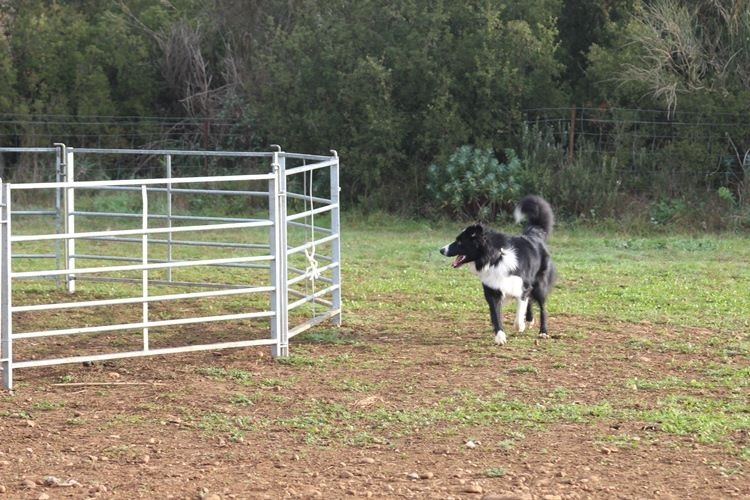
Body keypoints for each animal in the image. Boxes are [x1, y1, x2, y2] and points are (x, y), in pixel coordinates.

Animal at [440, 194, 560, 344]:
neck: (495, 258)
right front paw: (500, 337)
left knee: (542, 306)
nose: (441, 250)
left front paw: (519, 325)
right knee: (530, 300)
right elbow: (496, 315)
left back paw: (543, 331)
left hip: (540, 285)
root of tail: (534, 233)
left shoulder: (520, 286)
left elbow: (520, 309)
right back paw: (529, 320)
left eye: (460, 242)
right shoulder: (493, 290)